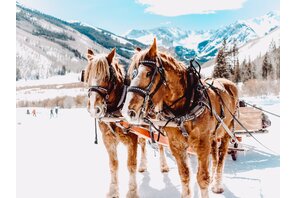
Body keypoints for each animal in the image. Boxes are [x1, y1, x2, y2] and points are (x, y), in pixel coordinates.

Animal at [82, 48, 169, 198]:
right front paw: (113, 190)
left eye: (107, 76)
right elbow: (113, 164)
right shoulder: (108, 139)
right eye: (87, 76)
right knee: (143, 144)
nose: (94, 109)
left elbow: (131, 164)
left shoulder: (131, 138)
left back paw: (163, 165)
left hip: (157, 123)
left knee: (160, 144)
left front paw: (132, 192)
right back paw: (143, 165)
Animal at [121, 38, 238, 197]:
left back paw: (217, 185)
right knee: (214, 156)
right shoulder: (176, 146)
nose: (129, 111)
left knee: (221, 157)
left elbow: (202, 178)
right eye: (133, 74)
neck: (185, 108)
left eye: (149, 73)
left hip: (227, 131)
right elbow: (184, 175)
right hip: (213, 136)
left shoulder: (203, 144)